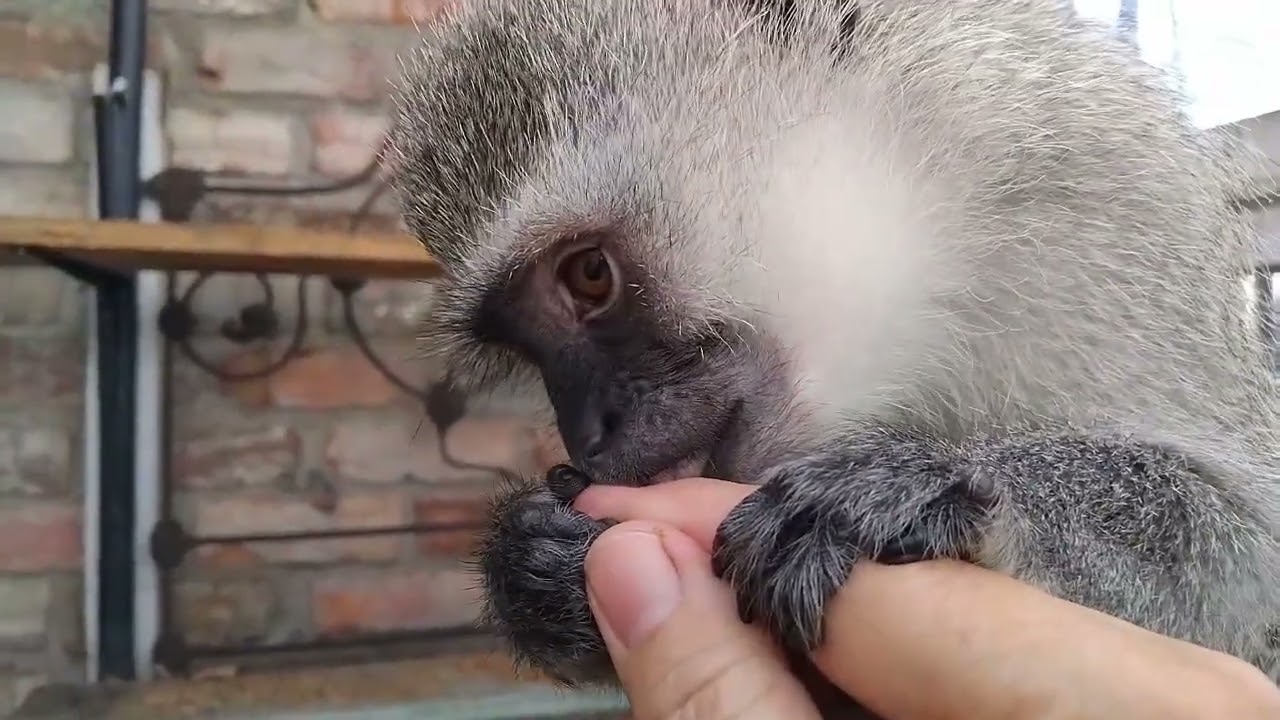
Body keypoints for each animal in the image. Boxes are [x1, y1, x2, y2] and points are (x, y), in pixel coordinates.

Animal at [385, 0, 1280, 716]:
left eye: (589, 276)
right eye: (522, 347)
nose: (587, 435)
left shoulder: (1105, 205)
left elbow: (1243, 550)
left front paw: (936, 481)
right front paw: (536, 565)